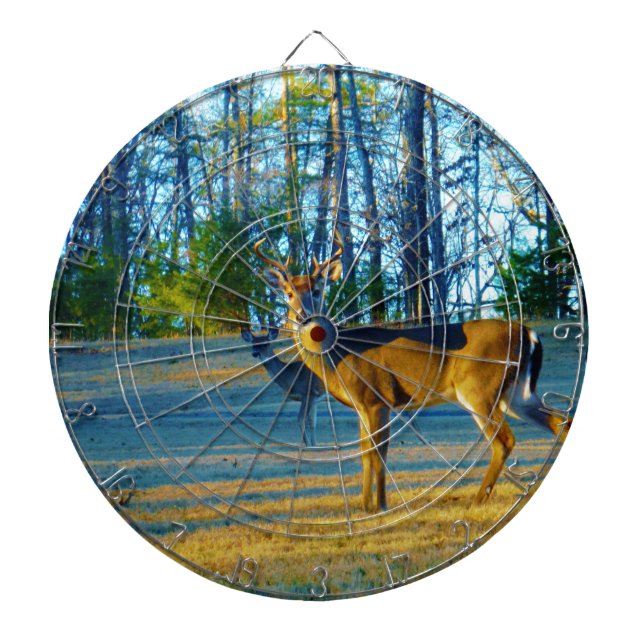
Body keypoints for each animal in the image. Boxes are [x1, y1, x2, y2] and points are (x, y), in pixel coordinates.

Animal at [255, 231, 571, 513]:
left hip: (479, 389)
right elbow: (365, 454)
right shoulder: (361, 405)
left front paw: (380, 506)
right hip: (517, 394)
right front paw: (364, 506)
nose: (304, 317)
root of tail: (528, 333)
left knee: (504, 440)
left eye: (318, 290)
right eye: (288, 293)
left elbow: (378, 453)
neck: (339, 356)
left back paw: (478, 498)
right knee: (559, 422)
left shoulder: (377, 399)